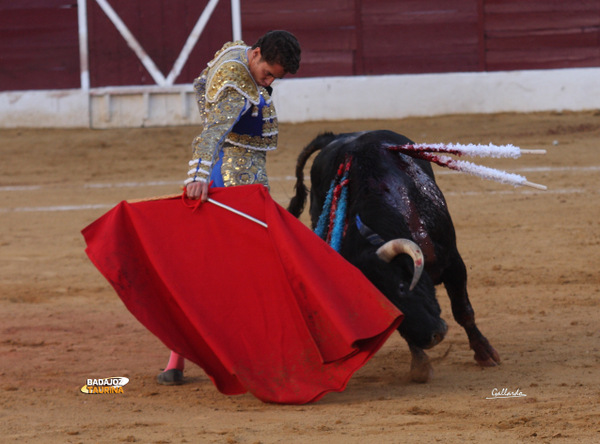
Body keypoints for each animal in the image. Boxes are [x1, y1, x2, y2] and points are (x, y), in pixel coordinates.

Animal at [288, 129, 500, 382]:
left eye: (401, 287)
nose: (432, 338)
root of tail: (338, 136)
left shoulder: (453, 263)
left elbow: (463, 311)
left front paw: (485, 353)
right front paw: (420, 366)